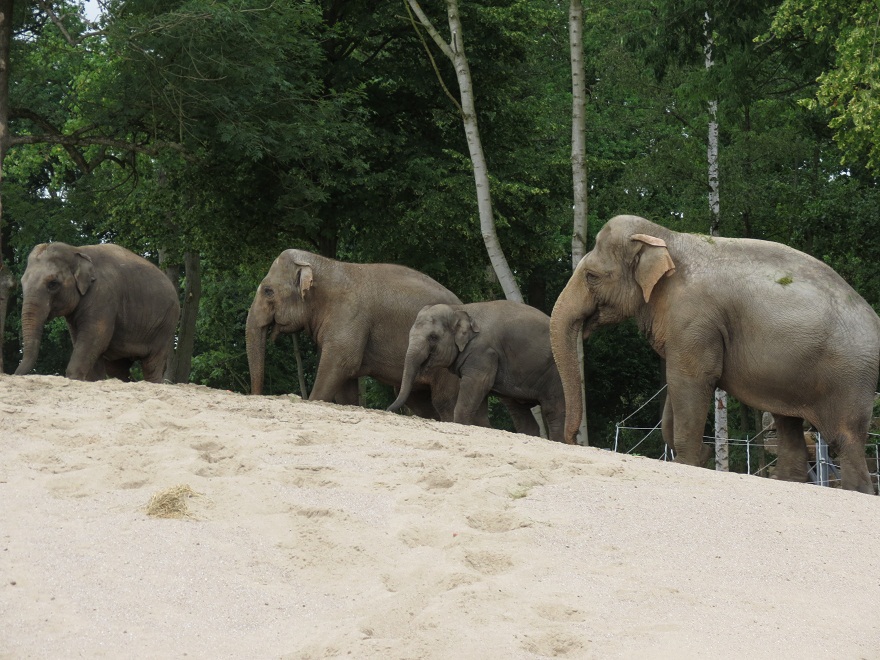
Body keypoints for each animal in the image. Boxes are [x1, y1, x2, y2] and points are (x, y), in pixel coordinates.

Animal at [15, 242, 180, 382]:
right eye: (22, 283)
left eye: (53, 284)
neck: (77, 250)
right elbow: (85, 341)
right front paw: (93, 380)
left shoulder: (103, 294)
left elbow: (95, 337)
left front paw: (74, 377)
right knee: (117, 368)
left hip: (165, 325)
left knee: (151, 364)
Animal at [246, 249, 471, 421]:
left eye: (267, 291)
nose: (256, 395)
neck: (326, 265)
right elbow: (345, 387)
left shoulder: (349, 316)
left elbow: (341, 364)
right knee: (419, 401)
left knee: (445, 401)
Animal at [387, 300, 568, 443]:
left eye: (433, 337)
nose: (388, 409)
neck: (460, 309)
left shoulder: (482, 353)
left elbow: (476, 385)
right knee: (519, 412)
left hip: (556, 374)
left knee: (554, 411)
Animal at [550, 214, 879, 494]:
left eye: (591, 276)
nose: (572, 440)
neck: (666, 237)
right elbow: (677, 379)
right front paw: (696, 455)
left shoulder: (695, 317)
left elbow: (691, 378)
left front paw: (688, 461)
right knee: (787, 422)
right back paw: (786, 480)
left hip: (851, 373)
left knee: (845, 437)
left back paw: (855, 490)